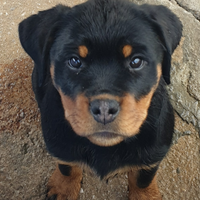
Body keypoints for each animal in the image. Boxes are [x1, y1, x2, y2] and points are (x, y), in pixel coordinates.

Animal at [18, 0, 183, 199]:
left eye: (136, 61)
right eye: (74, 61)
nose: (104, 109)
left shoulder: (152, 155)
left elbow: (142, 180)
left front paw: (145, 195)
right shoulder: (59, 145)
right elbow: (67, 166)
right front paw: (64, 188)